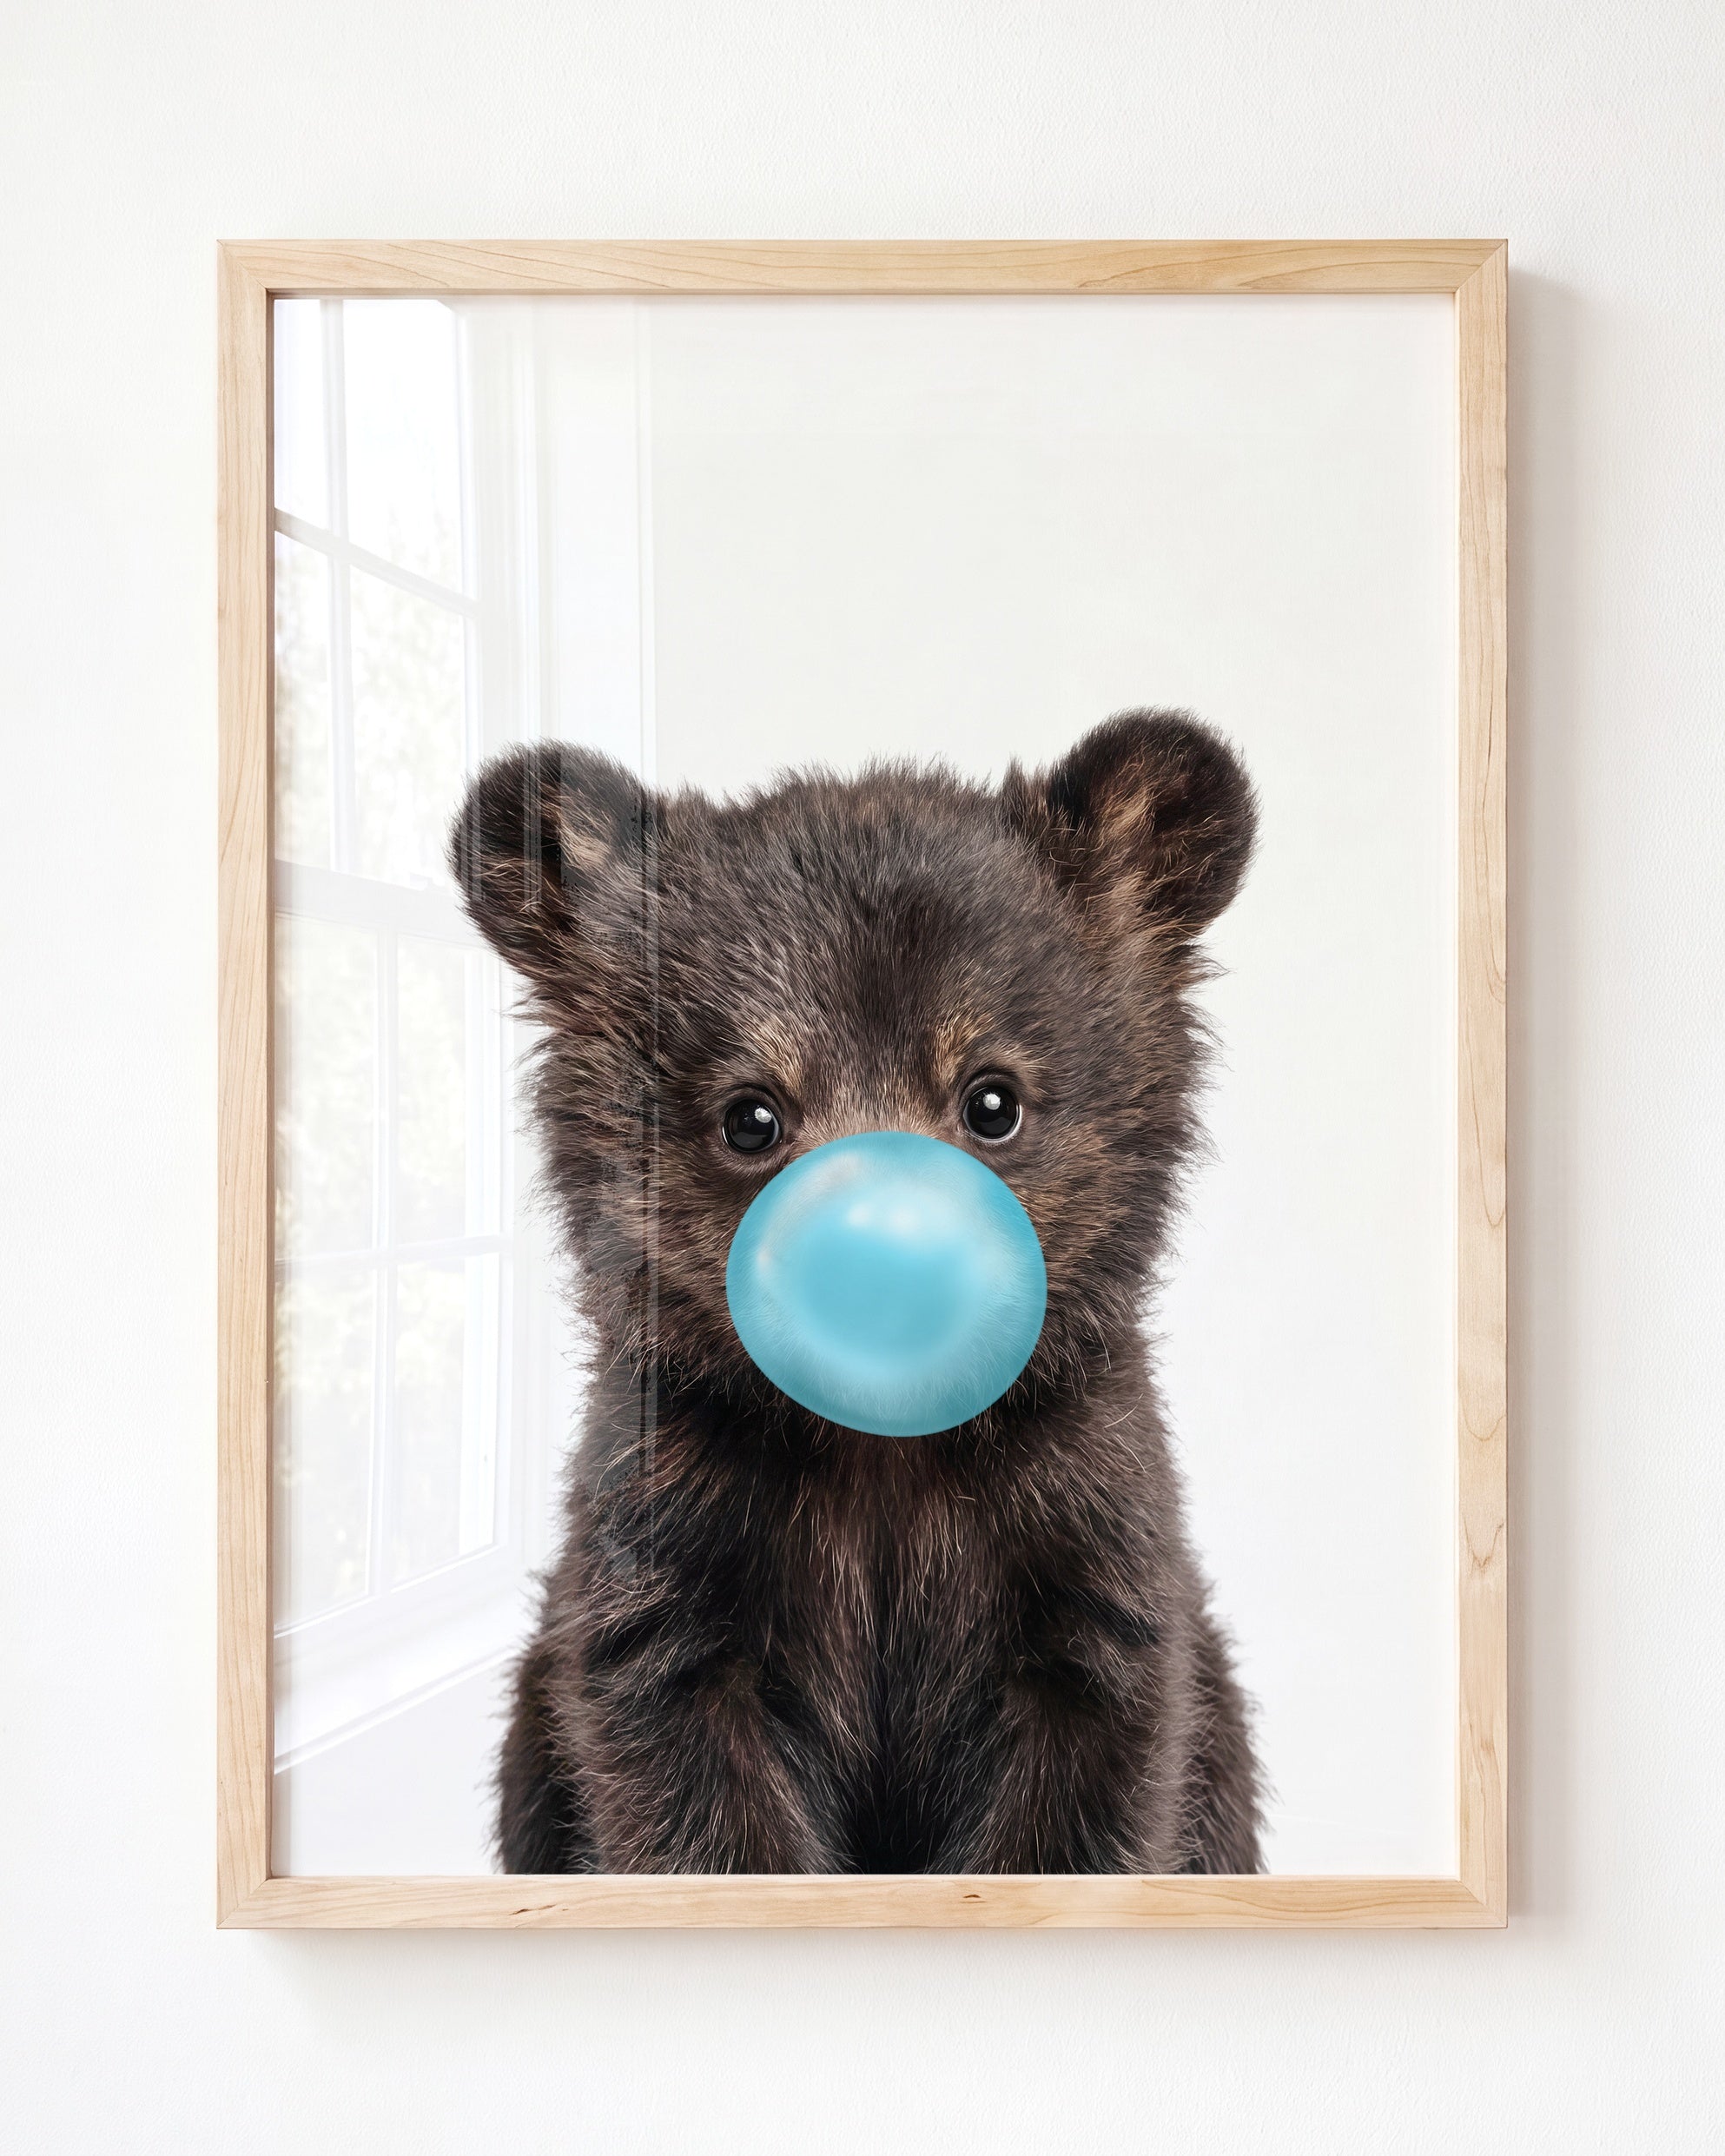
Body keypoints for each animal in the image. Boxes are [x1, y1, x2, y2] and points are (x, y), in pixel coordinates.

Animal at [450, 708, 1265, 1874]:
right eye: (750, 1115)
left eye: (993, 1100)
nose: (883, 1273)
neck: (882, 1452)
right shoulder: (664, 1567)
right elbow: (696, 1807)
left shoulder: (1089, 1552)